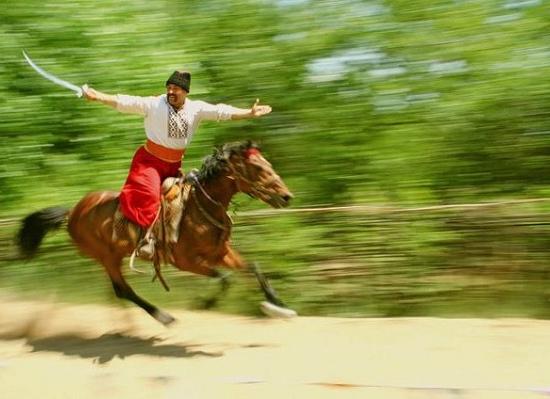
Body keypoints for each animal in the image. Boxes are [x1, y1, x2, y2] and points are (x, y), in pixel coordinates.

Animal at [16, 141, 294, 324]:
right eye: (258, 168)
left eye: (268, 164)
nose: (286, 196)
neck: (199, 208)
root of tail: (73, 211)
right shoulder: (185, 261)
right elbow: (224, 278)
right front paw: (205, 304)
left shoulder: (220, 253)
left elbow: (253, 268)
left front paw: (278, 305)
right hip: (106, 256)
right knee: (123, 290)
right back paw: (163, 316)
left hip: (113, 256)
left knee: (117, 292)